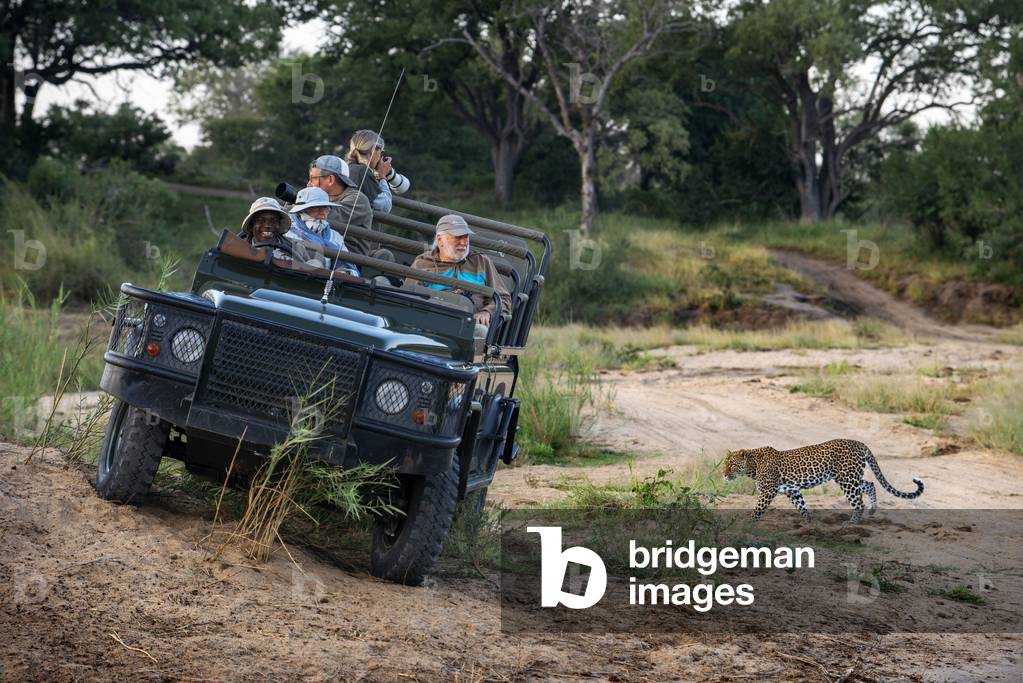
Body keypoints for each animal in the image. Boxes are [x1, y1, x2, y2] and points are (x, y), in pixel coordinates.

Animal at [723, 438, 924, 523]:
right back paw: (873, 509)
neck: (753, 466)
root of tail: (860, 443)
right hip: (849, 477)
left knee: (858, 502)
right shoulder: (793, 491)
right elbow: (802, 507)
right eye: (724, 464)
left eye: (731, 465)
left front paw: (747, 524)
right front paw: (809, 524)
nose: (724, 474)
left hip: (847, 478)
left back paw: (852, 523)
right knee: (870, 484)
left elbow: (757, 510)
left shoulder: (768, 491)